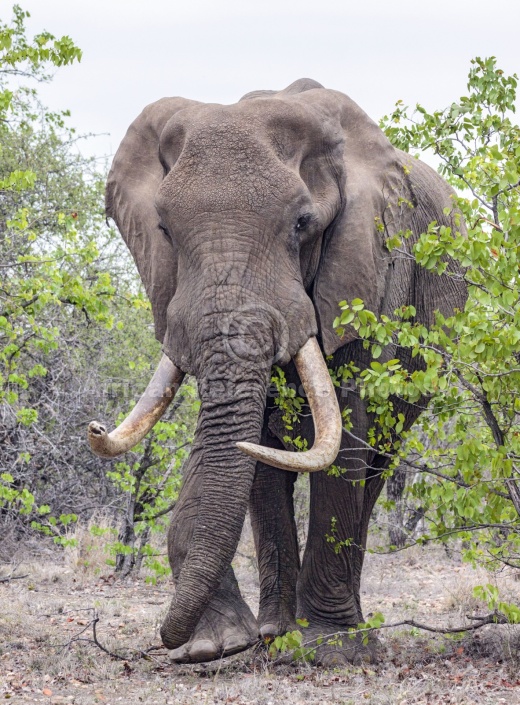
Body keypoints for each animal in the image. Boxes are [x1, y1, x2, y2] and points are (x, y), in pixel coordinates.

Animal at [86, 78, 468, 664]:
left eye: (302, 225)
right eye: (164, 229)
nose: (171, 643)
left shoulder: (372, 271)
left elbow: (348, 428)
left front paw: (330, 648)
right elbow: (250, 450)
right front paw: (228, 645)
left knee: (377, 462)